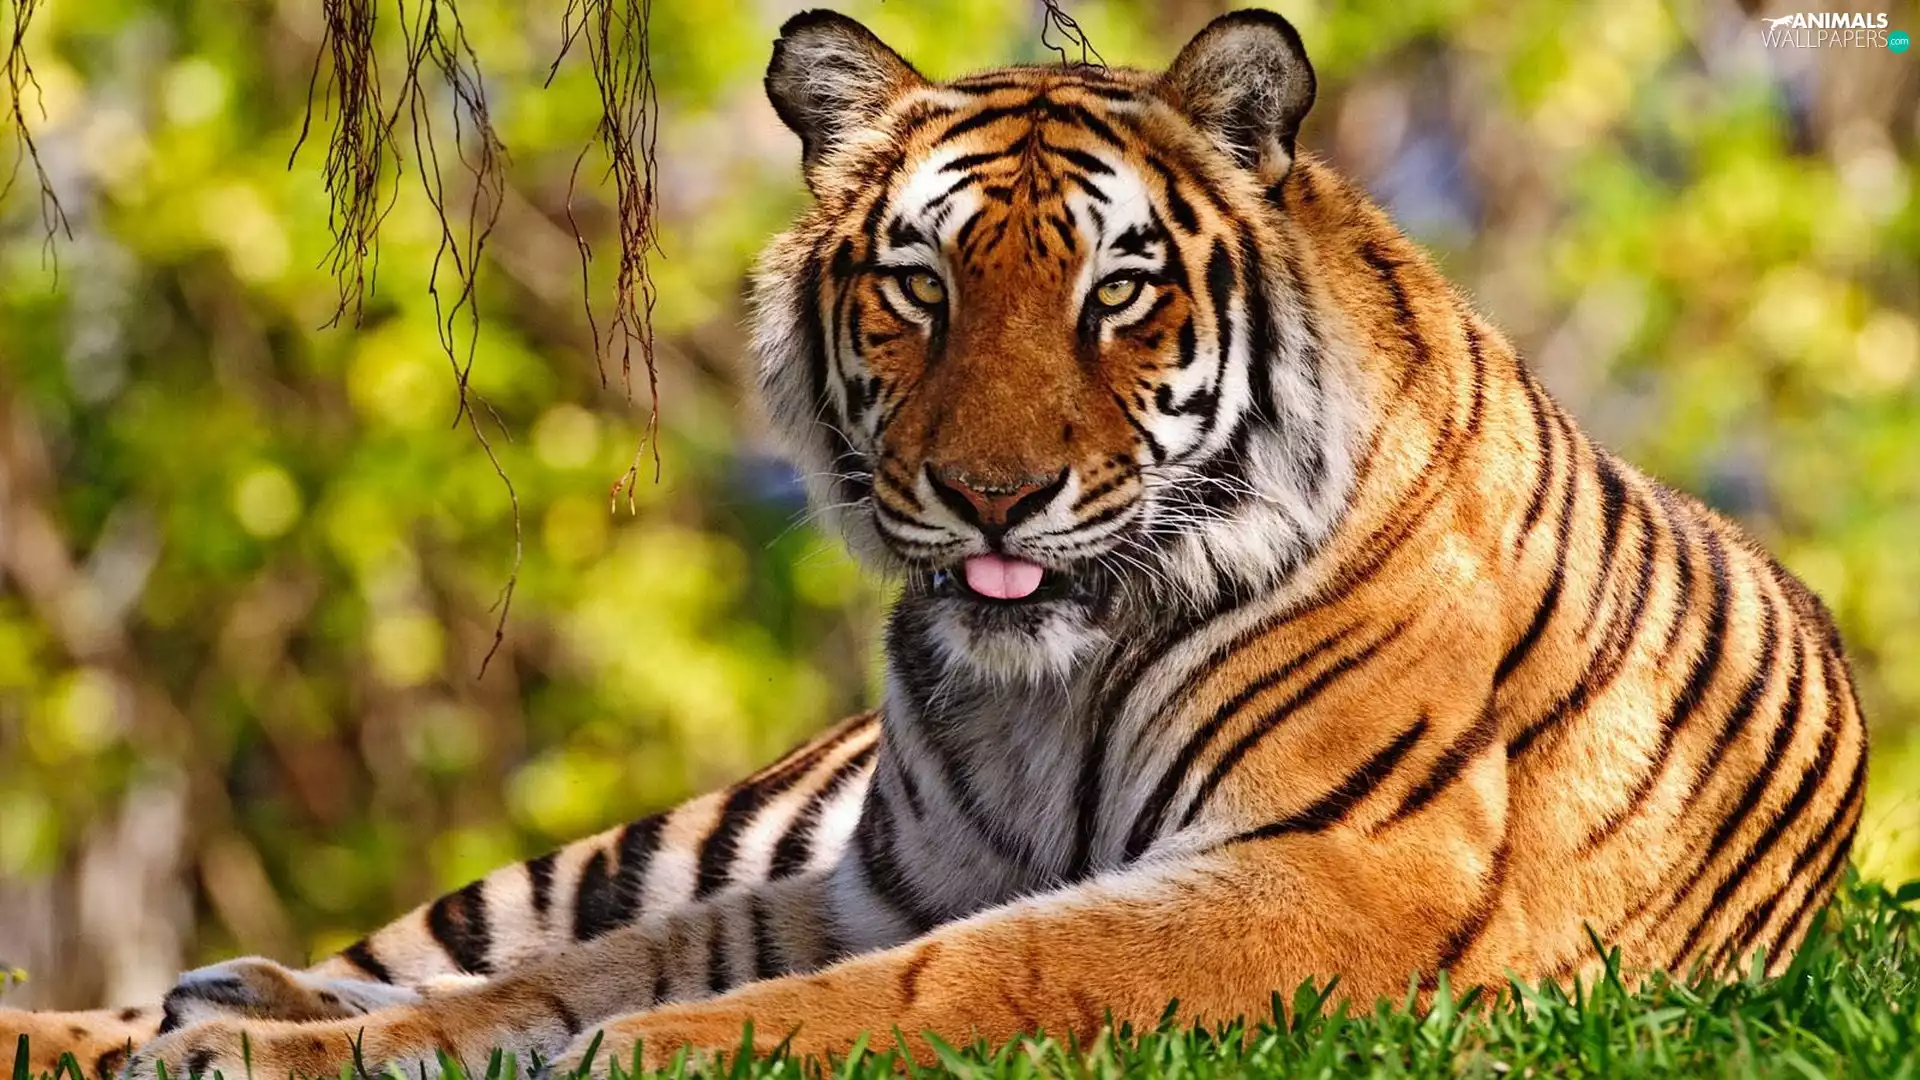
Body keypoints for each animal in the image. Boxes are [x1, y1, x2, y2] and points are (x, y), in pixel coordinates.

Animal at [2, 9, 1869, 1079]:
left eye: (1117, 291)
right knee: (383, 958)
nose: (991, 495)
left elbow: (953, 980)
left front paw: (640, 1054)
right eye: (920, 284)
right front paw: (272, 1054)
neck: (1043, 683)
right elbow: (556, 981)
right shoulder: (873, 876)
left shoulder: (1334, 873)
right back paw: (186, 1011)